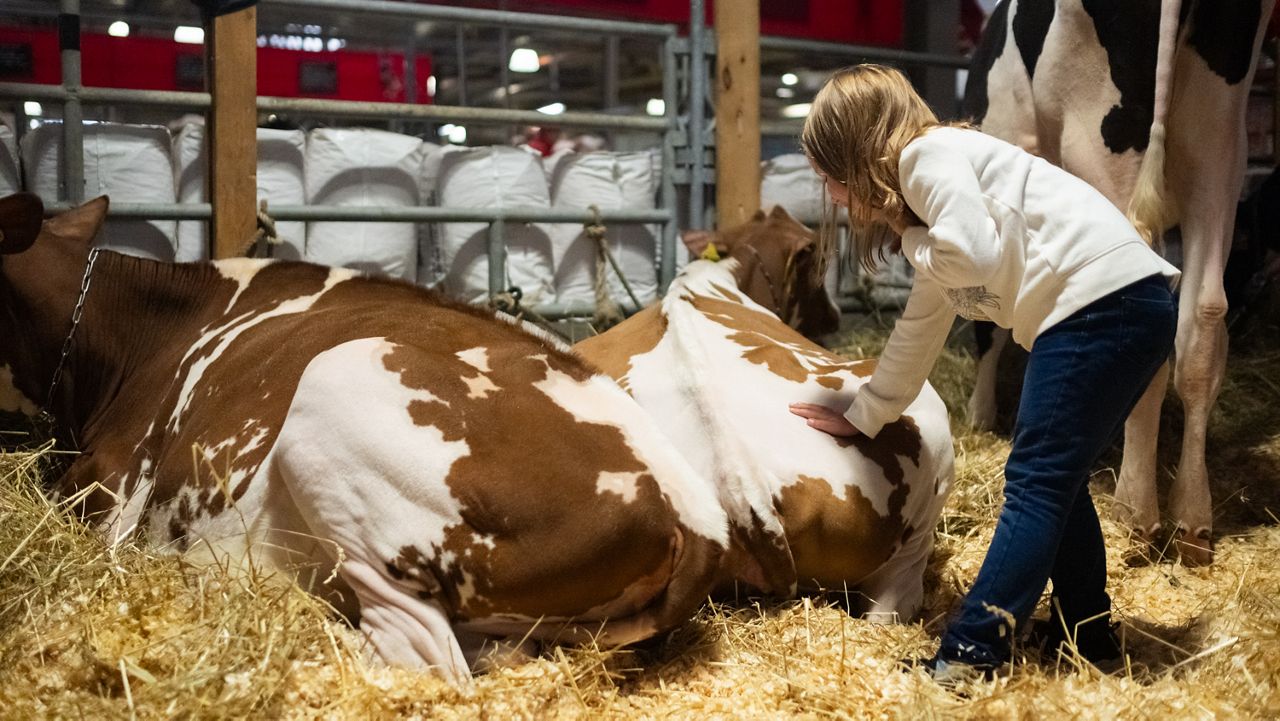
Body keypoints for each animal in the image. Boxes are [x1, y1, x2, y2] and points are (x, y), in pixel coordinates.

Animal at [962, 0, 1274, 563]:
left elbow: (990, 323)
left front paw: (981, 414)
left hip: (1101, 133)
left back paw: (1135, 511)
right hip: (1219, 140)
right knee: (1203, 316)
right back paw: (1192, 519)